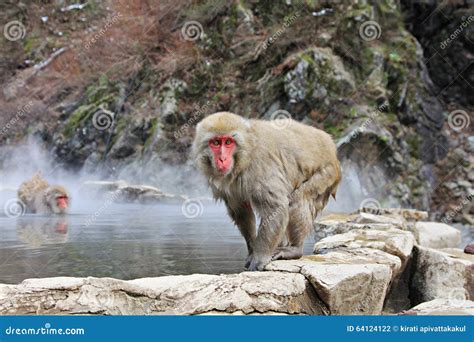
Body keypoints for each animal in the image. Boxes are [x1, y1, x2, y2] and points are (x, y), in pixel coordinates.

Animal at [193, 112, 340, 272]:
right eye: (216, 142)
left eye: (228, 142)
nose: (222, 158)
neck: (245, 153)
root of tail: (329, 143)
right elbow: (242, 211)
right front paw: (252, 251)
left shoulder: (260, 166)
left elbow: (276, 207)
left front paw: (260, 257)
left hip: (326, 173)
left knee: (297, 200)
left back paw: (295, 249)